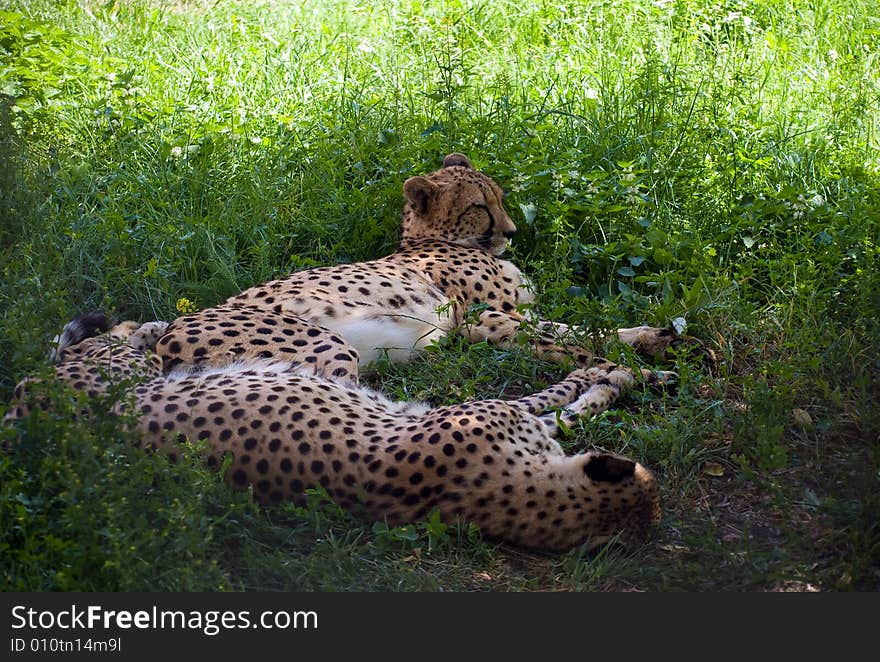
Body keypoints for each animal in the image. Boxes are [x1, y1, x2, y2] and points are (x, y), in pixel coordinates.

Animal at [5, 320, 660, 552]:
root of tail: (25, 412)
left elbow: (567, 413)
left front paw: (611, 379)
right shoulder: (500, 418)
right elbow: (554, 399)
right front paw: (608, 374)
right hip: (124, 370)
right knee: (112, 338)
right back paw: (139, 324)